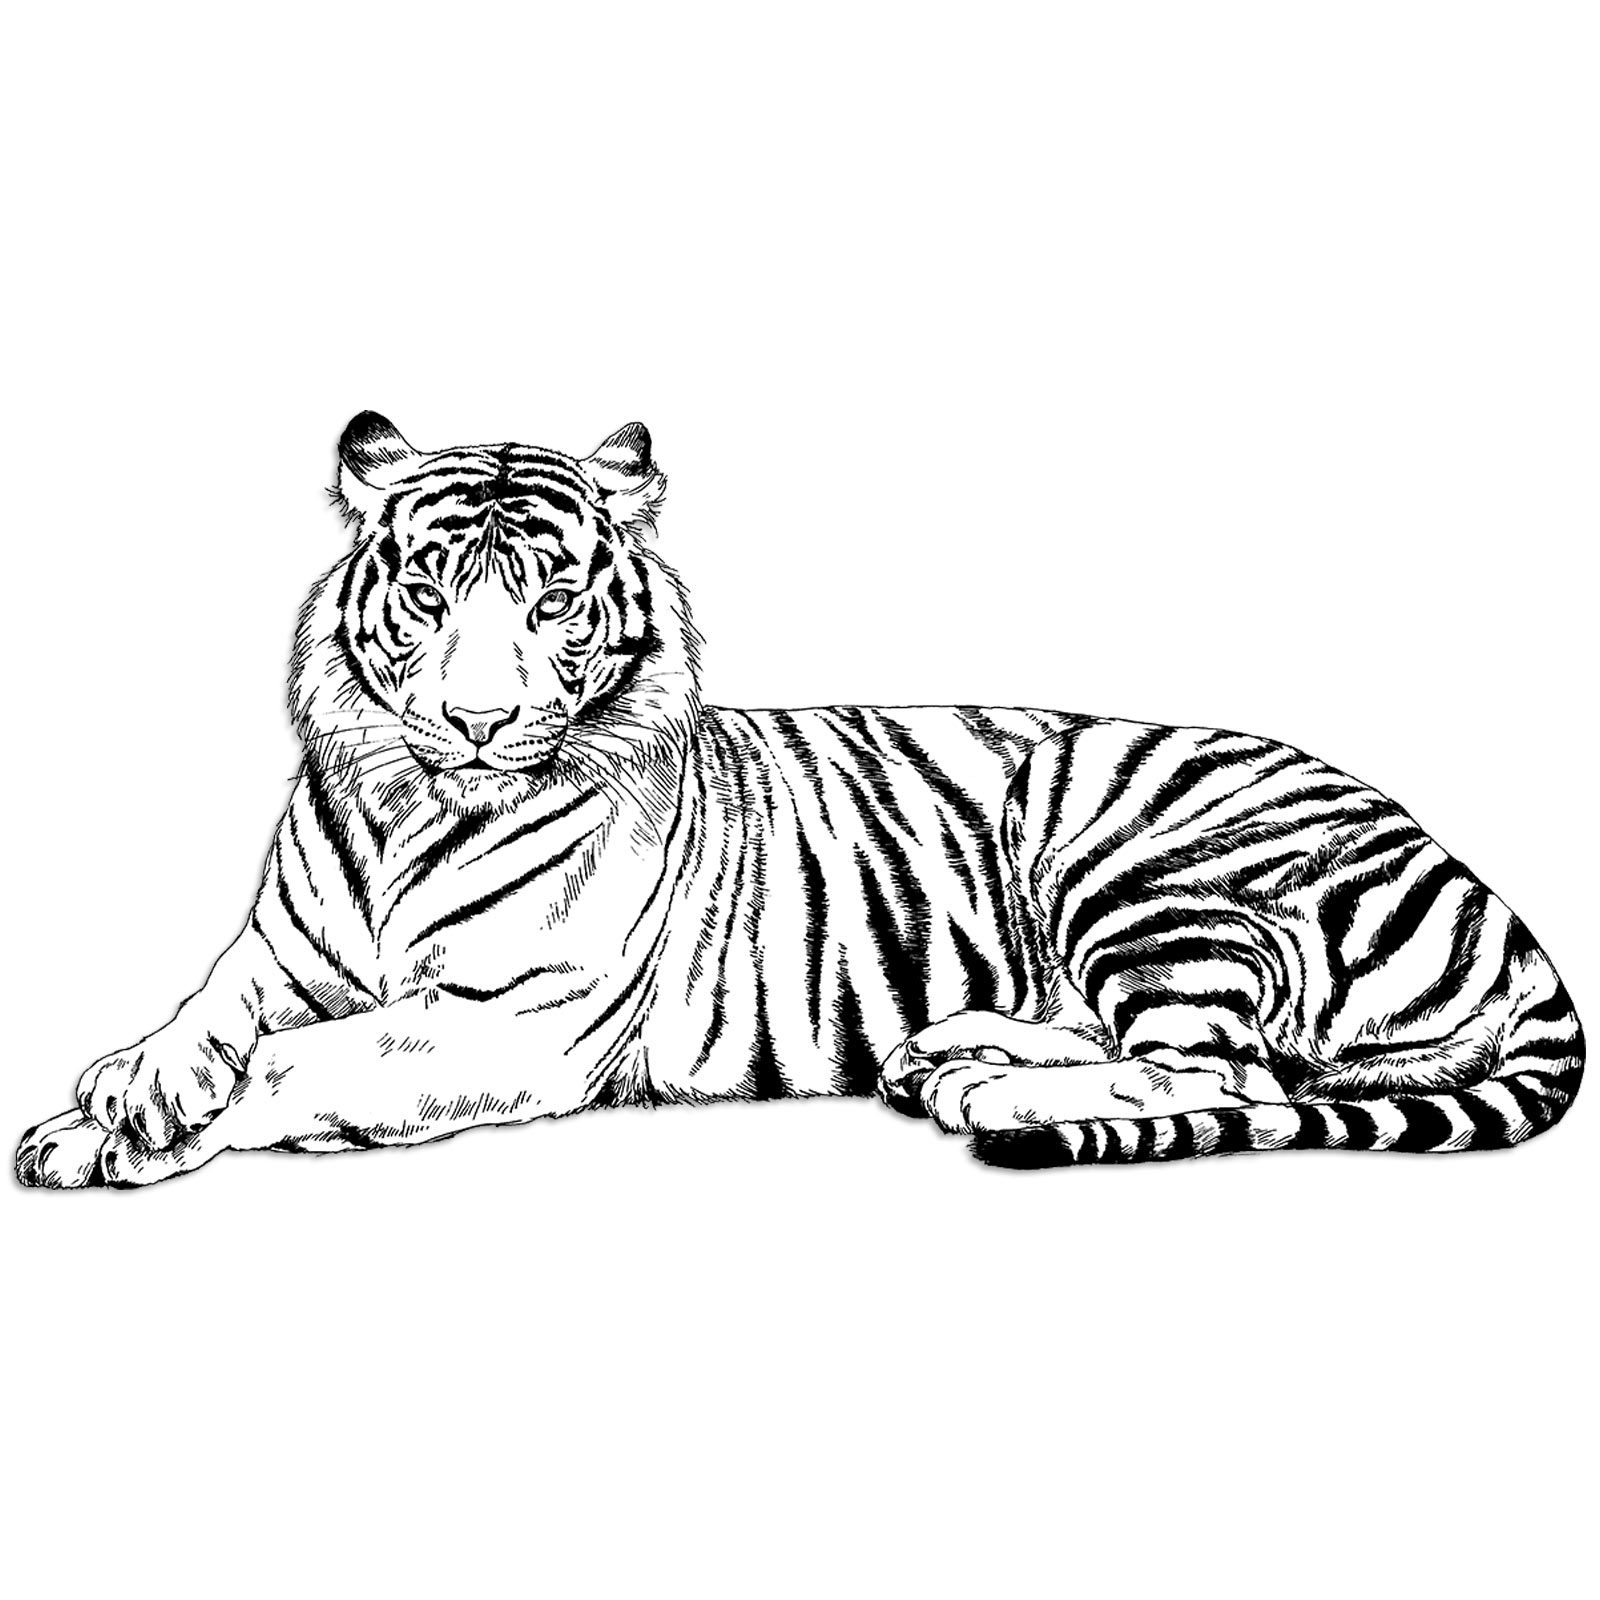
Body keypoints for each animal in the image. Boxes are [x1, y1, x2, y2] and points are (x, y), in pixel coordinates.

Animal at [14, 413, 1584, 1188]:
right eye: (429, 595)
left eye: (552, 601)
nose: (478, 719)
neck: (413, 809)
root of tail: (1478, 882)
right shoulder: (274, 958)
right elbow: (207, 1015)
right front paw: (117, 1094)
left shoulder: (512, 1025)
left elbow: (299, 1066)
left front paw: (135, 1133)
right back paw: (948, 1053)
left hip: (1150, 870)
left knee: (1227, 1076)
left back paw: (987, 1089)